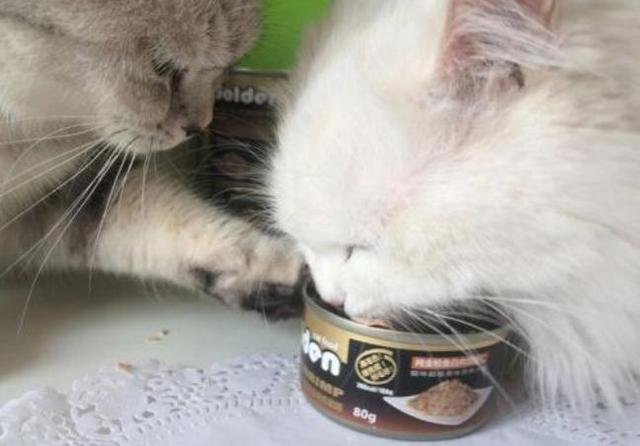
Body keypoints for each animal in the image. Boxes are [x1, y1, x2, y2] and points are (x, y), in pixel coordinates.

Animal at [0, 0, 303, 317]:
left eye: (229, 66)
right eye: (163, 67)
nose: (200, 125)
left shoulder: (60, 197)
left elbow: (167, 218)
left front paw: (282, 269)